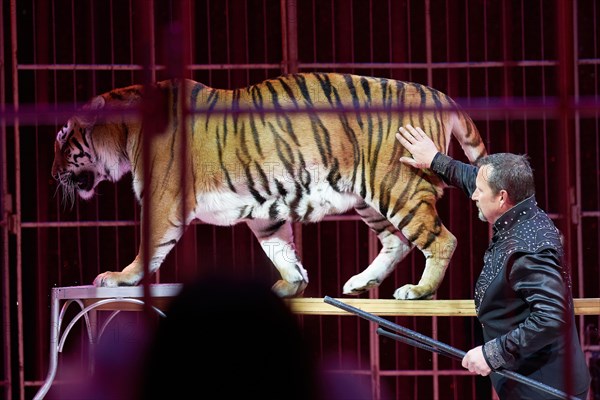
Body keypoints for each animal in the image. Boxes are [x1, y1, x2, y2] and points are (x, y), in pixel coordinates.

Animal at [49, 72, 486, 298]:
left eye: (61, 136)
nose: (52, 174)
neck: (125, 133)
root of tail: (439, 93)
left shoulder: (162, 200)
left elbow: (148, 248)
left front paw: (119, 277)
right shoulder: (264, 212)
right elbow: (281, 250)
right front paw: (292, 284)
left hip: (398, 187)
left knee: (442, 240)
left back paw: (419, 290)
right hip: (369, 198)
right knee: (396, 241)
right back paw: (362, 282)